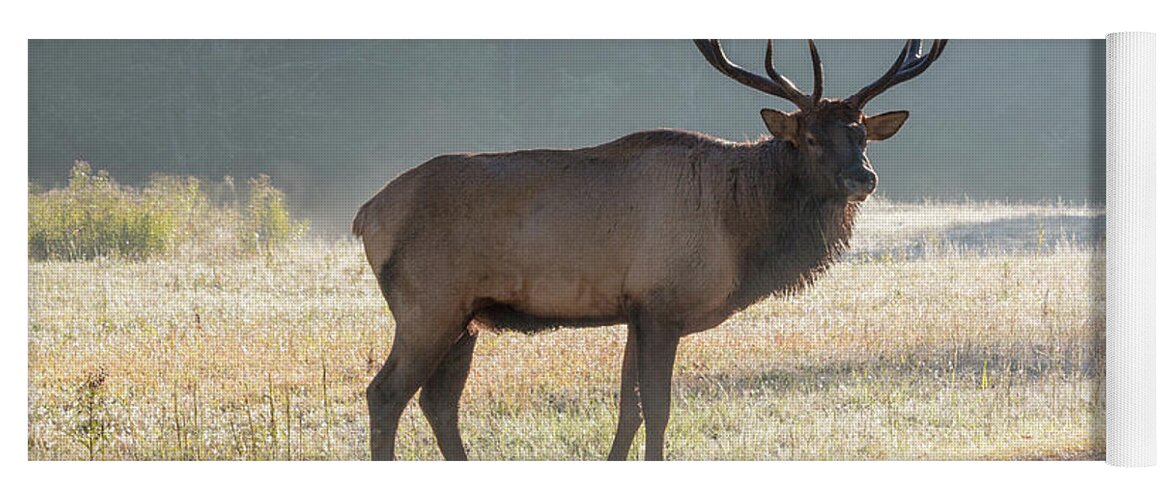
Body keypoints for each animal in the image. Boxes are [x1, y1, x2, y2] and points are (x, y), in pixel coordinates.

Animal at [351, 39, 946, 461]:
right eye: (811, 139)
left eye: (861, 135)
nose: (863, 179)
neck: (742, 231)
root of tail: (366, 216)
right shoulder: (662, 303)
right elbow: (656, 409)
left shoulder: (634, 309)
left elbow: (628, 408)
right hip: (428, 305)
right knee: (385, 395)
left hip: (466, 317)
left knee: (438, 403)